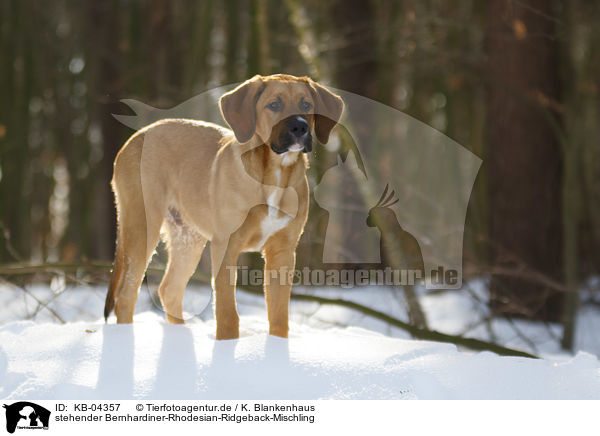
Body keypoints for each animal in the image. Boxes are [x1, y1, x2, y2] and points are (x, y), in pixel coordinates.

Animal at [104, 74, 342, 340]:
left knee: (169, 289)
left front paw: (277, 347)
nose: (300, 127)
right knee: (126, 295)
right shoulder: (226, 245)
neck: (274, 174)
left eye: (306, 105)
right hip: (142, 225)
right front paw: (227, 345)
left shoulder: (283, 251)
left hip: (188, 237)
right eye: (274, 105)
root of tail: (135, 138)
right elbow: (227, 311)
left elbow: (279, 315)